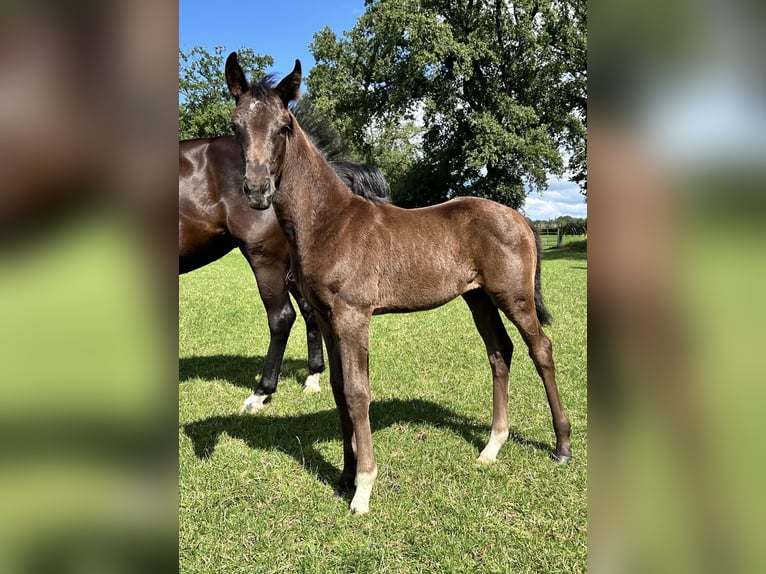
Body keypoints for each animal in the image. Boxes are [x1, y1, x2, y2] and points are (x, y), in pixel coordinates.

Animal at [225, 55, 572, 516]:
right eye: (236, 126)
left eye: (283, 126)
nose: (257, 190)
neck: (329, 222)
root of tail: (520, 217)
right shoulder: (327, 316)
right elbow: (338, 389)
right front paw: (344, 475)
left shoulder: (353, 316)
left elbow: (358, 393)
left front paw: (363, 489)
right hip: (478, 298)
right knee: (500, 353)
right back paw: (491, 448)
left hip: (512, 296)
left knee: (541, 350)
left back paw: (563, 445)